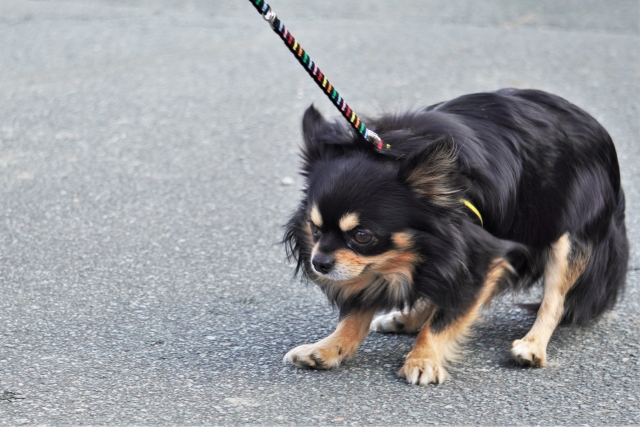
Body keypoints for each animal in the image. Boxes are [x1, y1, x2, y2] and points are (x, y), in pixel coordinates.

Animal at [282, 88, 628, 386]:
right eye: (315, 229)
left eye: (362, 236)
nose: (319, 262)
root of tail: (595, 127)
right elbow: (356, 313)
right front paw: (329, 347)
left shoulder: (481, 253)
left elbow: (445, 318)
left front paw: (423, 359)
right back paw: (408, 319)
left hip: (567, 239)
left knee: (554, 301)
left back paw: (532, 346)